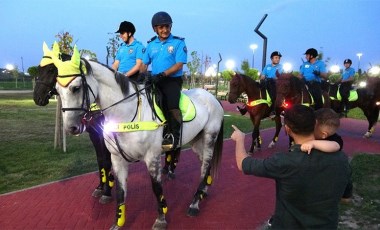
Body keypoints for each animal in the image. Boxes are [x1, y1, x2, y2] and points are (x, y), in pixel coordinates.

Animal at [50, 45, 223, 229]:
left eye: (76, 88)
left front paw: (161, 218)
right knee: (205, 165)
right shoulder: (117, 158)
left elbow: (156, 187)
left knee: (205, 166)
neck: (127, 112)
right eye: (57, 91)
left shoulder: (152, 157)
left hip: (209, 137)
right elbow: (120, 191)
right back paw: (203, 192)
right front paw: (118, 222)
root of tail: (214, 98)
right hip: (197, 142)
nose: (71, 128)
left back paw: (195, 202)